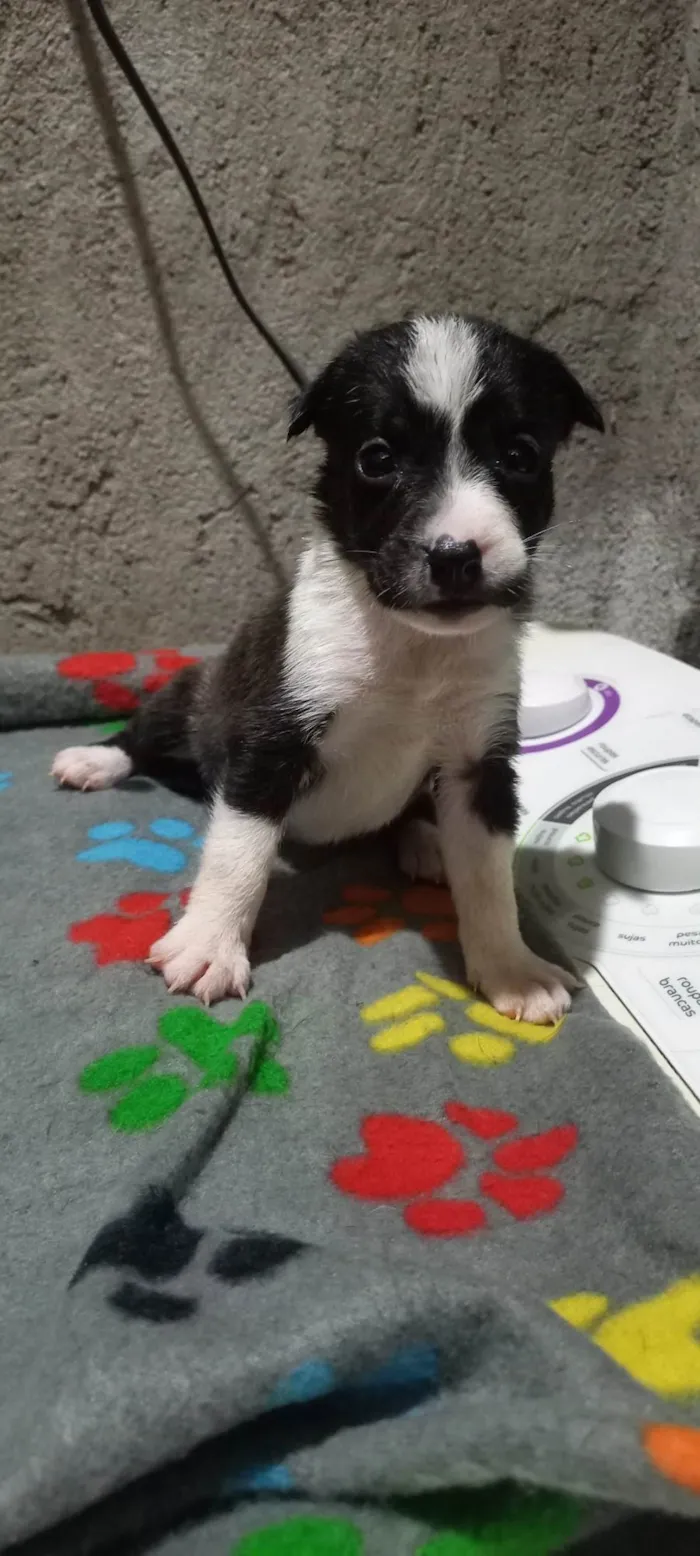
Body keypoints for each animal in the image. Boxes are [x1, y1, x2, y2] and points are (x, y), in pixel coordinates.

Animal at [52, 315, 603, 1020]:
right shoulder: (272, 741)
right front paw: (209, 944)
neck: (411, 643)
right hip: (190, 697)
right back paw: (95, 760)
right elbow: (238, 854)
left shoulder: (479, 764)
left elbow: (488, 880)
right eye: (377, 458)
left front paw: (511, 969)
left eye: (521, 455)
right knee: (144, 733)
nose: (454, 555)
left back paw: (425, 839)